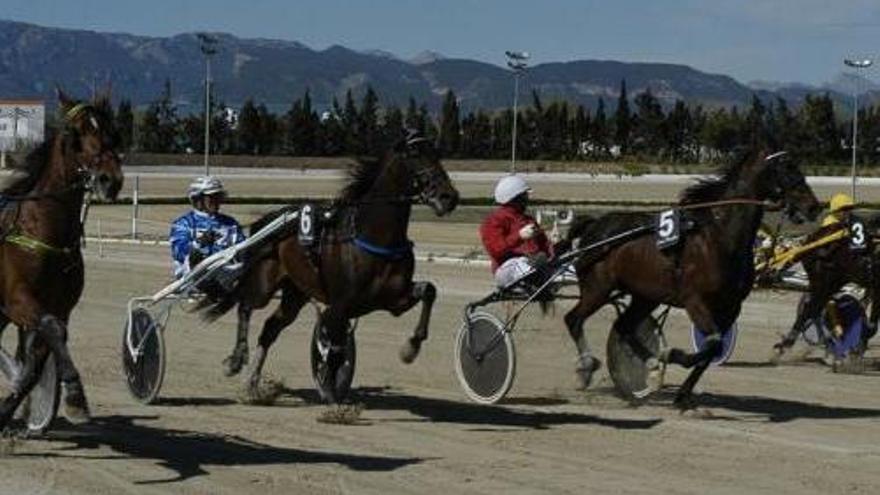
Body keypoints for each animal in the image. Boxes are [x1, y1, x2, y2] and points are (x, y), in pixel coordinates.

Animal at [0, 90, 124, 430]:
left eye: (112, 131)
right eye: (75, 134)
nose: (109, 180)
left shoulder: (61, 307)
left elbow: (37, 363)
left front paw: (10, 411)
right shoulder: (18, 300)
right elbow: (52, 328)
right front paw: (75, 396)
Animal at [200, 135, 458, 404]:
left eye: (436, 154)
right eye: (415, 154)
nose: (448, 197)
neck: (373, 236)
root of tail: (269, 220)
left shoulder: (394, 299)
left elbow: (429, 291)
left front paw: (411, 347)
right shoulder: (340, 305)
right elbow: (332, 348)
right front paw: (331, 391)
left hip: (295, 293)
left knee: (270, 327)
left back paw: (252, 384)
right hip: (264, 283)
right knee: (246, 306)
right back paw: (237, 359)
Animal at [564, 150, 820, 410]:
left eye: (798, 168)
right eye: (785, 171)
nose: (813, 206)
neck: (719, 238)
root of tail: (595, 224)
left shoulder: (731, 307)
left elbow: (713, 349)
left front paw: (682, 393)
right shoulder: (695, 300)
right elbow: (713, 344)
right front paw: (674, 356)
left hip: (645, 296)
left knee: (623, 327)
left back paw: (652, 363)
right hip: (598, 288)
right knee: (573, 319)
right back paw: (587, 366)